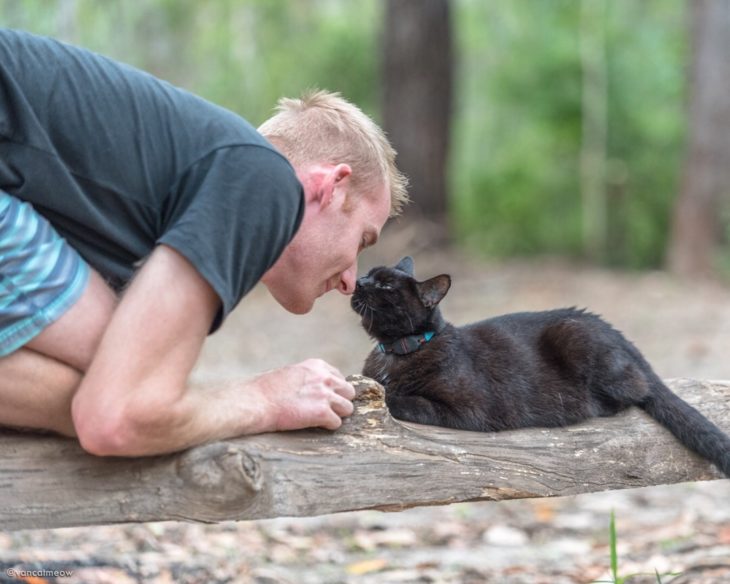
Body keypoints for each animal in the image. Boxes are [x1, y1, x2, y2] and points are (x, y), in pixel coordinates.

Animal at [350, 258, 728, 476]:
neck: (396, 351)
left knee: (637, 390)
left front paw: (386, 395)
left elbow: (406, 399)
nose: (358, 281)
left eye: (385, 285)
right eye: (368, 273)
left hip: (575, 337)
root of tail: (613, 331)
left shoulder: (469, 409)